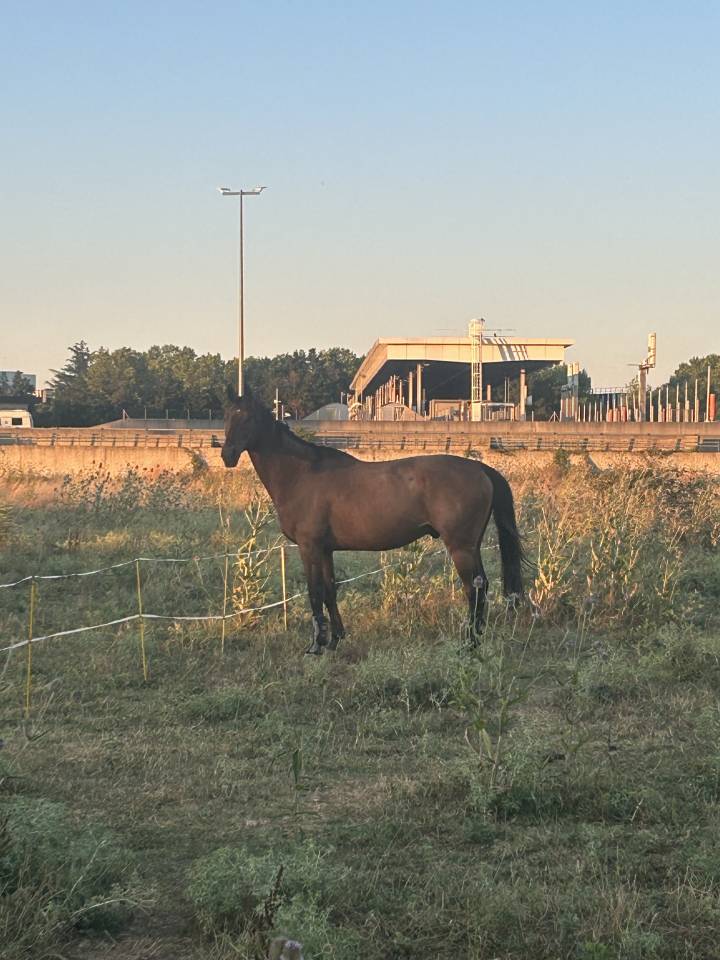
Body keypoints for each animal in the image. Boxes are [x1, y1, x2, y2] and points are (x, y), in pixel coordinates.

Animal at [221, 386, 524, 654]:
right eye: (227, 417)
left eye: (248, 418)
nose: (227, 455)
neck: (302, 474)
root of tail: (479, 468)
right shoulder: (325, 550)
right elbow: (330, 590)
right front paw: (335, 639)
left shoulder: (309, 548)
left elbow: (314, 593)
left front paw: (316, 644)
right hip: (472, 546)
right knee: (481, 585)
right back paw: (477, 637)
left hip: (461, 547)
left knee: (474, 588)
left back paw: (470, 643)